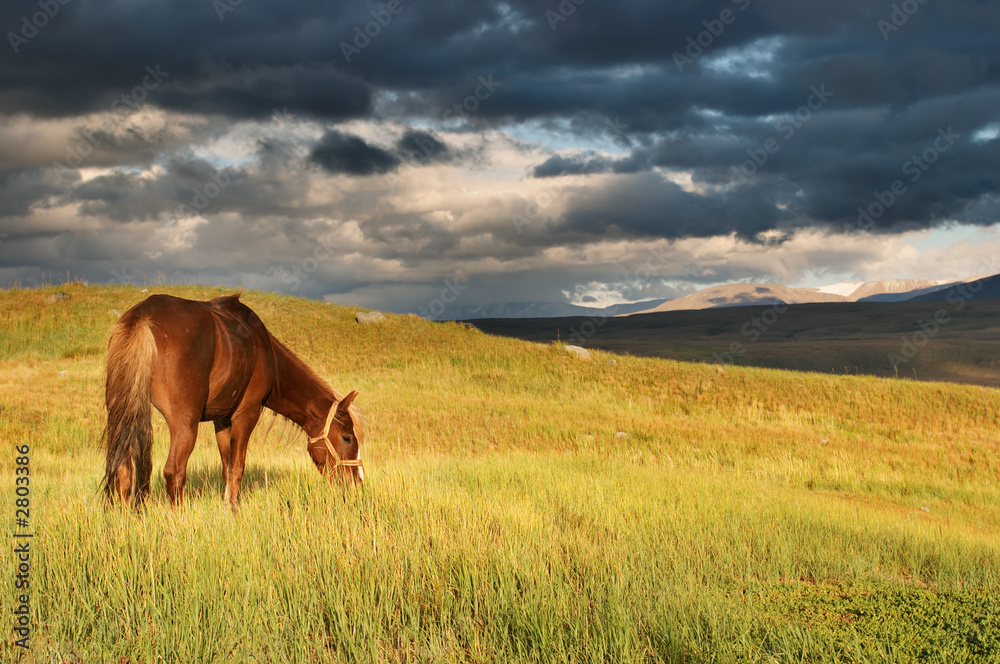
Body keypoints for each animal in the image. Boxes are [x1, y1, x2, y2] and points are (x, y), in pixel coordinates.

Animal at [100, 292, 364, 508]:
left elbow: (226, 467)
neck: (266, 350)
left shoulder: (222, 420)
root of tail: (143, 315)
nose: (357, 484)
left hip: (123, 414)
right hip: (185, 424)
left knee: (123, 469)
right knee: (174, 471)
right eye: (347, 438)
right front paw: (233, 509)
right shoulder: (247, 414)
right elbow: (237, 467)